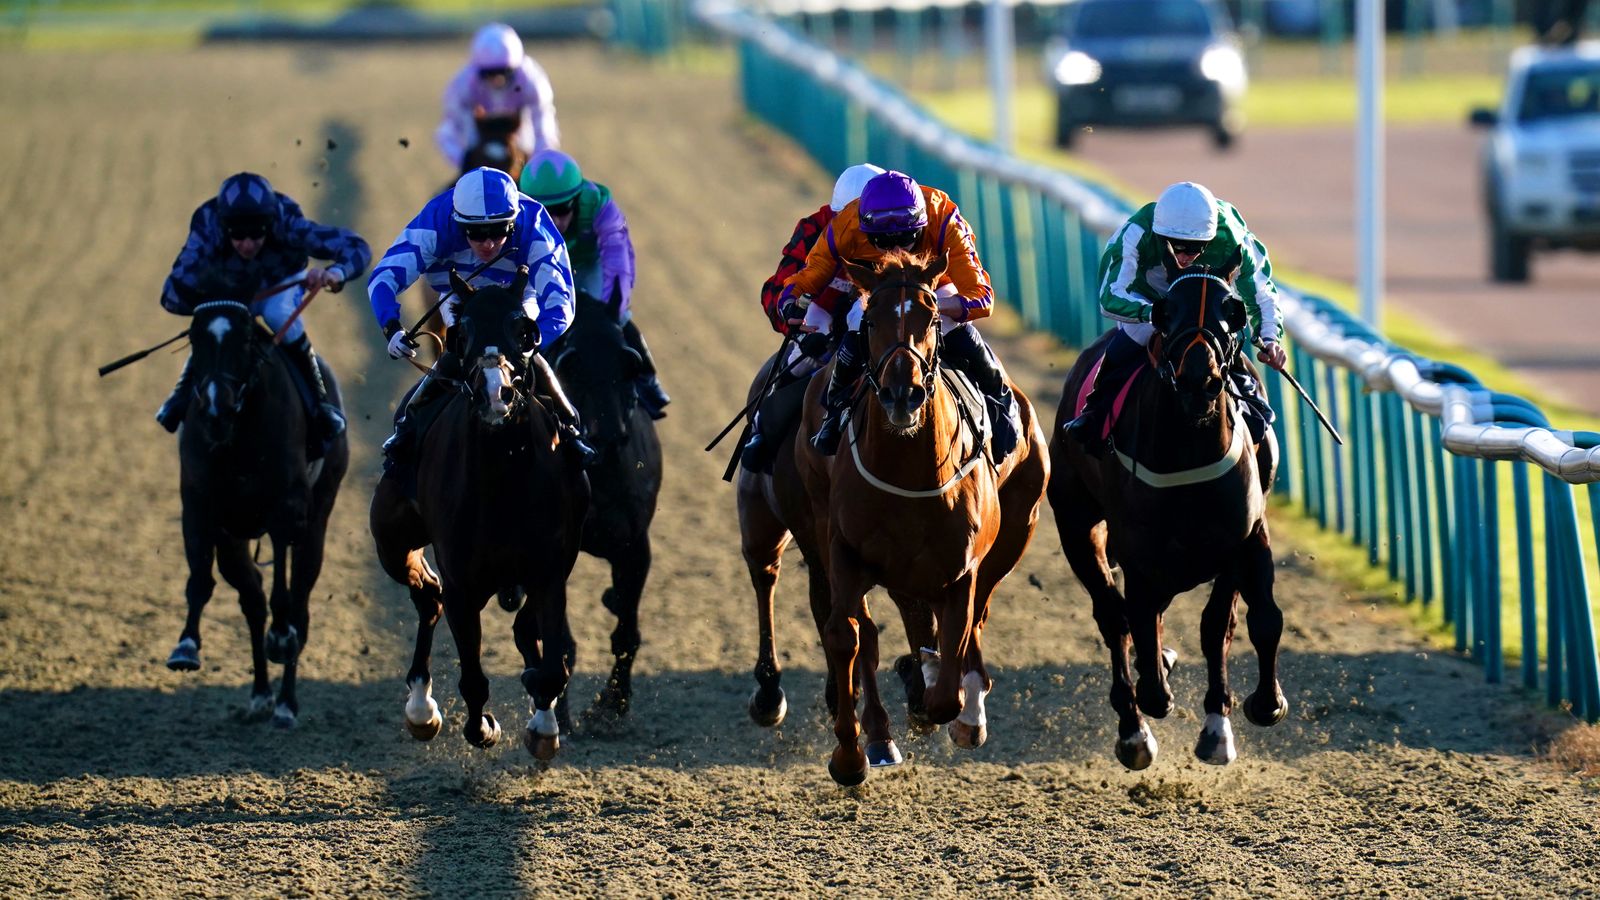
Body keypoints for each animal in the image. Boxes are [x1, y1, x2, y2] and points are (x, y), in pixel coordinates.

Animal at [165, 297, 347, 723]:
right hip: (233, 542)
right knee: (252, 601)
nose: (216, 410)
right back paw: (262, 694)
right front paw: (185, 647)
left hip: (317, 524)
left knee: (299, 605)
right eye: (195, 340)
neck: (238, 438)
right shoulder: (199, 506)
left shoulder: (286, 510)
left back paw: (285, 702)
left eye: (245, 340)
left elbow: (284, 595)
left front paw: (280, 640)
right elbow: (200, 579)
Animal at [371, 265, 592, 755]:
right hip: (392, 542)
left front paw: (543, 724)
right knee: (427, 596)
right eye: (463, 331)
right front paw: (483, 726)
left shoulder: (551, 567)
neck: (502, 479)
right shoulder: (462, 582)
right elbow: (472, 677)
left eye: (524, 330)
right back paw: (421, 708)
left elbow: (548, 662)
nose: (497, 395)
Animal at [544, 294, 656, 720]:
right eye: (570, 364)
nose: (609, 434)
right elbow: (559, 644)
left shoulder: (634, 544)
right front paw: (559, 715)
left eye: (630, 363)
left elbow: (627, 632)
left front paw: (612, 703)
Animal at [796, 248, 1049, 781]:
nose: (901, 393)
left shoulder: (963, 568)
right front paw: (850, 755)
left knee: (973, 626)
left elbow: (949, 680)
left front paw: (951, 704)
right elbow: (846, 636)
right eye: (870, 319)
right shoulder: (844, 552)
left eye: (931, 317)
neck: (911, 469)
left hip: (1014, 535)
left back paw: (962, 705)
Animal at [1049, 241, 1286, 768]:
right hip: (1078, 527)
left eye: (1233, 309)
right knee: (1114, 618)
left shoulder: (1246, 538)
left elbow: (1245, 621)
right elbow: (1145, 655)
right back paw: (1134, 731)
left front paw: (1254, 709)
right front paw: (1154, 693)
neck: (1189, 451)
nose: (1200, 378)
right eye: (1164, 311)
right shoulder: (1141, 558)